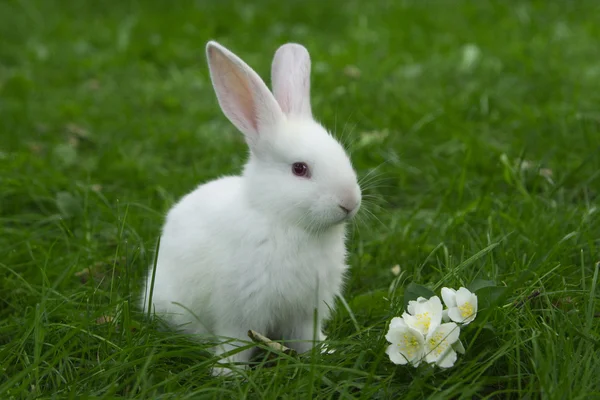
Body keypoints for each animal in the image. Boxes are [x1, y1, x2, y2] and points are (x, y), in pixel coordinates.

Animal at [142, 40, 360, 376]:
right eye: (299, 169)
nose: (350, 202)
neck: (283, 220)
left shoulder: (306, 312)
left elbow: (307, 338)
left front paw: (324, 354)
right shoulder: (239, 311)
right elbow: (235, 343)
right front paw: (229, 374)